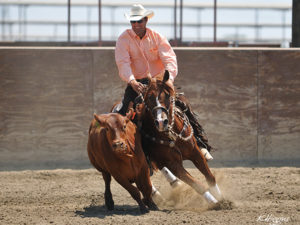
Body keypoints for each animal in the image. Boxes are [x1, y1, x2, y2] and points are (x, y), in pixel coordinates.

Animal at [135, 71, 221, 204]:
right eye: (148, 97)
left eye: (167, 95)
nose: (161, 122)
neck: (172, 136)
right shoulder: (173, 164)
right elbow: (196, 184)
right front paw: (216, 203)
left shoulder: (195, 152)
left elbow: (209, 176)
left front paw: (220, 197)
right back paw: (157, 194)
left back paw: (175, 184)